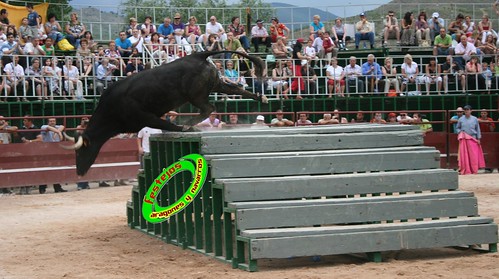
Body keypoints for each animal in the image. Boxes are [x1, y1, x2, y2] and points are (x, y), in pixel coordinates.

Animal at [71, 50, 266, 175]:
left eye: (80, 152)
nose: (79, 172)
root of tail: (198, 55)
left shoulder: (146, 117)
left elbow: (168, 124)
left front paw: (186, 129)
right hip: (215, 84)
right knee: (235, 89)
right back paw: (261, 97)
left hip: (196, 95)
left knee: (209, 108)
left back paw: (189, 125)